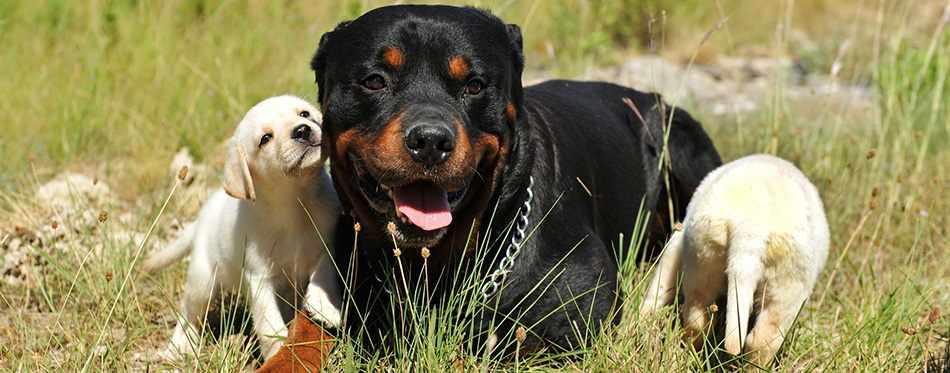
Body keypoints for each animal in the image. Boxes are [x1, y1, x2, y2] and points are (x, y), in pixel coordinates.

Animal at [145, 96, 342, 360]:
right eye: (265, 138)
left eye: (304, 114)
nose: (302, 130)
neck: (293, 203)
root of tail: (202, 216)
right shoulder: (259, 279)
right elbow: (269, 323)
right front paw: (280, 352)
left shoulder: (326, 247)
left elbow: (324, 275)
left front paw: (324, 306)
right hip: (202, 282)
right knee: (188, 315)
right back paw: (179, 345)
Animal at [644, 153, 828, 366]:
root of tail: (752, 224)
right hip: (789, 282)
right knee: (763, 339)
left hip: (703, 258)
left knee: (698, 318)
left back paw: (689, 353)